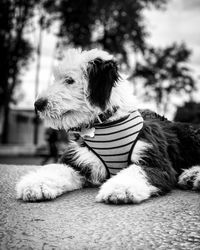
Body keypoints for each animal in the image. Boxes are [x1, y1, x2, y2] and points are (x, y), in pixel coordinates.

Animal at [16, 48, 200, 203]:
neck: (105, 123)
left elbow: (137, 170)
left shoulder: (155, 162)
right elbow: (56, 169)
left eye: (69, 80)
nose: (38, 104)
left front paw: (121, 188)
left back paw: (193, 176)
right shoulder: (78, 159)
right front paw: (35, 184)